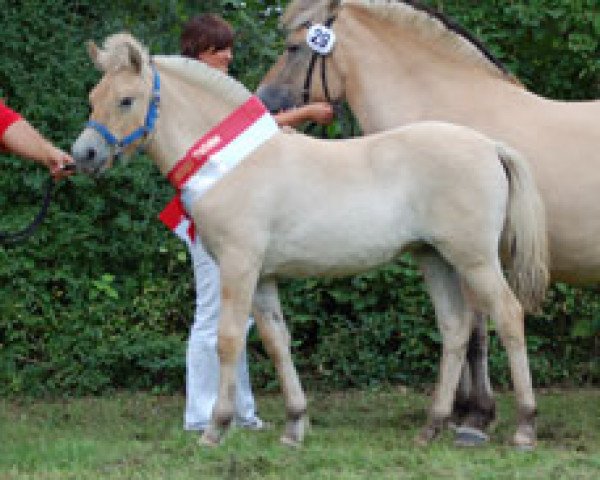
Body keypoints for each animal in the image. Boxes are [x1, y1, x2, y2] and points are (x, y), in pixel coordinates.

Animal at [71, 34, 548, 450]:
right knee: (455, 329)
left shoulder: (239, 266)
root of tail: (489, 146)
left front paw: (216, 429)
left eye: (126, 100)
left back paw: (524, 426)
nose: (84, 155)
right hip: (435, 259)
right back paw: (431, 428)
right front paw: (294, 426)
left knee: (508, 316)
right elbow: (276, 342)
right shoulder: (262, 278)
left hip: (474, 260)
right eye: (93, 96)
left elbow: (228, 340)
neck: (232, 162)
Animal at [260, 0, 600, 442]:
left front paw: (474, 414)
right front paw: (462, 410)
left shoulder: (470, 257)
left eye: (294, 48)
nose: (264, 101)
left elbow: (475, 333)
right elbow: (466, 328)